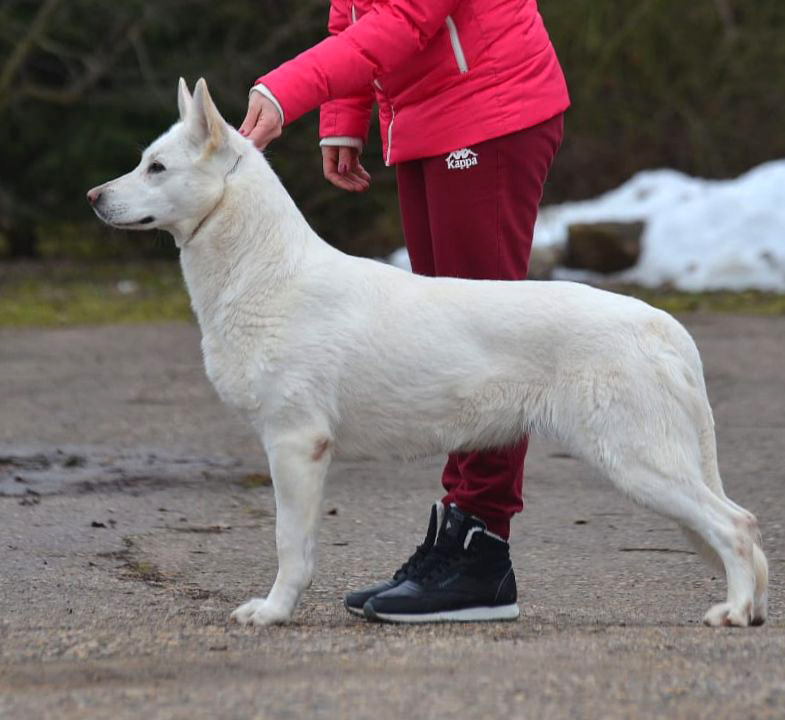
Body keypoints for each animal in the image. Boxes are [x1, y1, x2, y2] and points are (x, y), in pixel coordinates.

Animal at [87, 79, 764, 628]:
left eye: (156, 167)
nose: (93, 196)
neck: (264, 271)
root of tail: (663, 326)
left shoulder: (296, 444)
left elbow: (289, 546)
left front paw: (274, 613)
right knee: (745, 530)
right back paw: (751, 610)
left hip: (635, 459)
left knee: (736, 525)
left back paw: (732, 612)